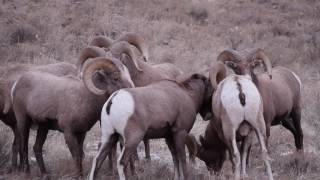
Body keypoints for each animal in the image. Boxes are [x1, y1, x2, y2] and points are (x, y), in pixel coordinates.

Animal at [10, 44, 136, 176]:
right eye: (116, 78)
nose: (132, 89)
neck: (83, 98)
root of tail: (16, 84)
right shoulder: (69, 133)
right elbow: (76, 156)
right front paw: (78, 175)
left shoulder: (81, 133)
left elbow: (81, 155)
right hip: (23, 122)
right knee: (24, 147)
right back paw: (27, 172)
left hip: (43, 127)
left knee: (37, 147)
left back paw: (44, 174)